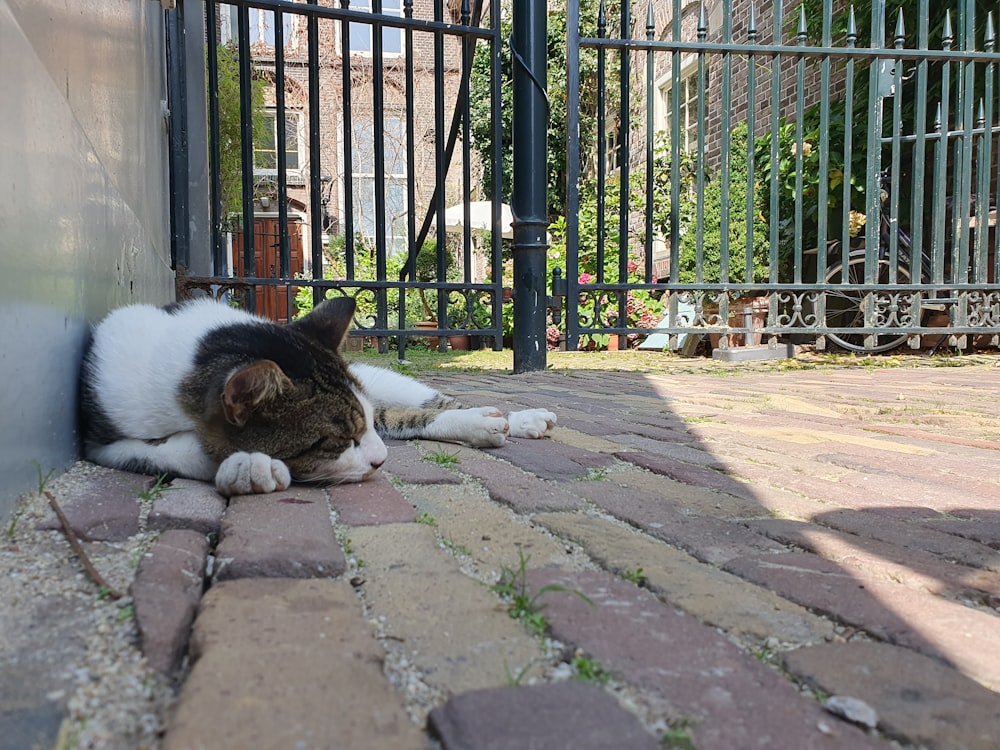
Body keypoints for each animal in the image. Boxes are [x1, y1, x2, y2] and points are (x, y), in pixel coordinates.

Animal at [80, 296, 556, 496]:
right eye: (334, 442)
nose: (381, 460)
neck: (183, 354)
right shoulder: (103, 439)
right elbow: (174, 450)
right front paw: (246, 465)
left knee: (426, 406)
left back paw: (515, 419)